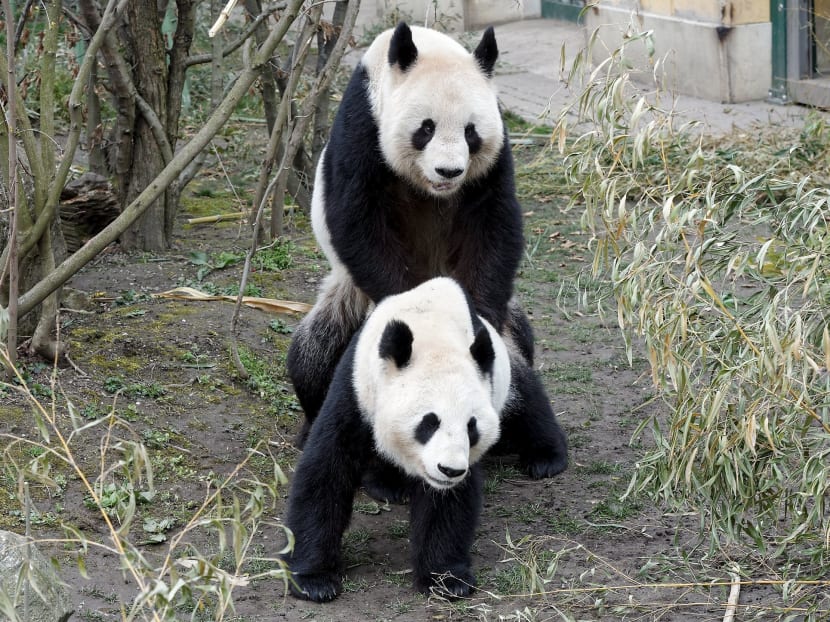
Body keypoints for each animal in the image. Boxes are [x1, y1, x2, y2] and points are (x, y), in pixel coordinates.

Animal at [283, 278, 511, 602]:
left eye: (471, 426)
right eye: (429, 422)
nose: (449, 470)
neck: (433, 328)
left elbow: (449, 501)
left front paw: (446, 579)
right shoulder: (357, 386)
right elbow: (327, 467)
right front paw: (314, 579)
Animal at [286, 22, 567, 482]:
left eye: (471, 131)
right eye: (426, 128)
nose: (449, 171)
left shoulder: (494, 156)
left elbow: (495, 226)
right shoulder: (363, 125)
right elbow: (357, 220)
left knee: (518, 355)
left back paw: (539, 450)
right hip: (349, 298)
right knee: (316, 351)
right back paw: (311, 422)